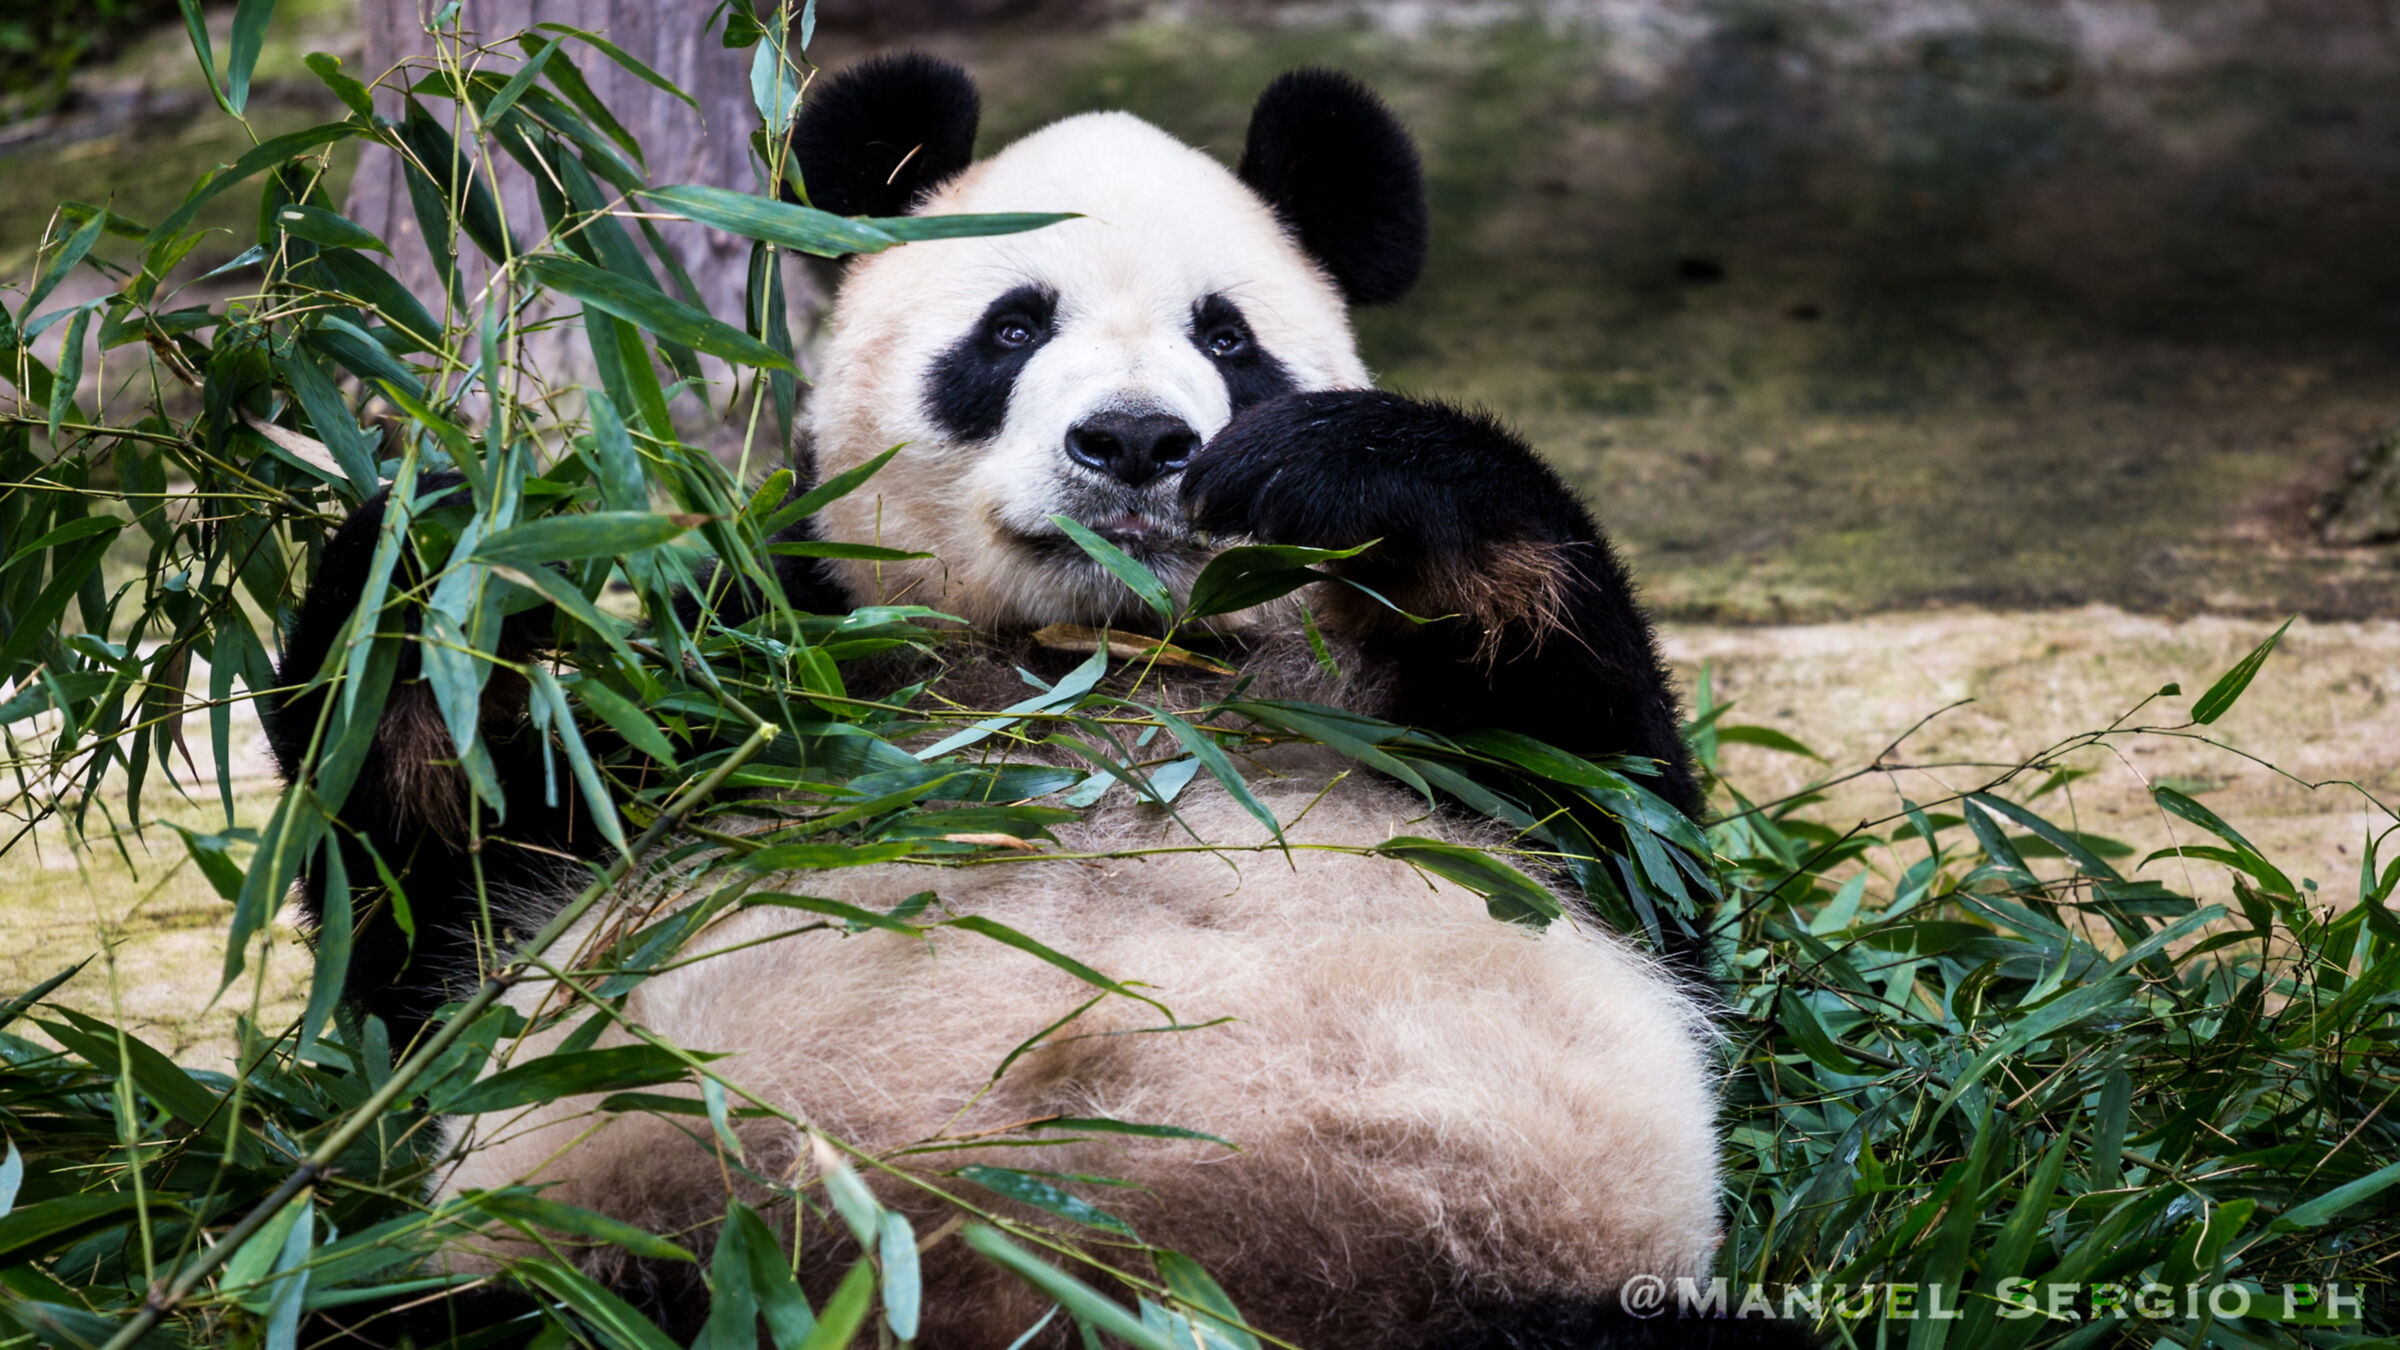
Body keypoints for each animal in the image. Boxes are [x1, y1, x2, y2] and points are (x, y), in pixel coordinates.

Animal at [268, 54, 1813, 1350]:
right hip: (600, 1266)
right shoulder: (763, 685)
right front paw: (445, 550)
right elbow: (442, 920)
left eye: (1228, 339)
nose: (1134, 440)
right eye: (1012, 328)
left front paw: (1349, 467)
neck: (1093, 660)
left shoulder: (1414, 730)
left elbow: (1630, 828)